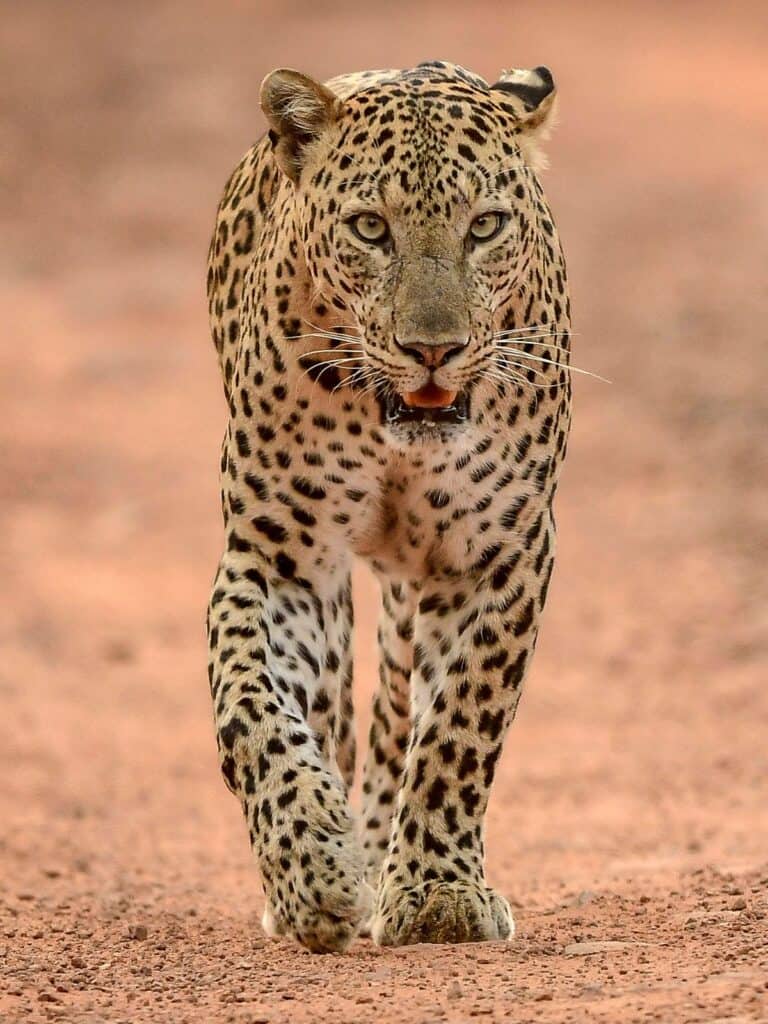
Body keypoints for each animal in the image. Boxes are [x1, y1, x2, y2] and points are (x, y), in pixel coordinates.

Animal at [206, 59, 571, 953]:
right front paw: (313, 871)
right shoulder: (281, 560)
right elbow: (253, 712)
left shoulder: (498, 555)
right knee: (333, 708)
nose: (432, 349)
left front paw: (439, 891)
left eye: (485, 226)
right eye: (371, 228)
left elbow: (460, 725)